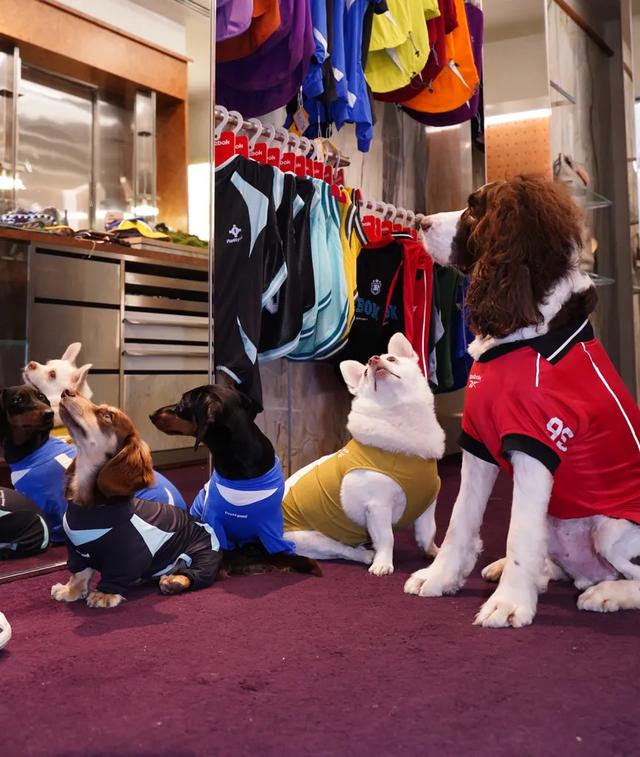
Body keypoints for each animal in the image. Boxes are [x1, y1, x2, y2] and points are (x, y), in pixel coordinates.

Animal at [50, 391, 222, 608]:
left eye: (107, 415)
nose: (67, 392)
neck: (92, 508)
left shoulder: (127, 555)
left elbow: (115, 575)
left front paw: (104, 594)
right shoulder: (77, 551)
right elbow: (80, 573)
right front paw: (71, 590)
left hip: (205, 552)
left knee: (195, 574)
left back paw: (174, 580)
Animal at [150, 385, 320, 576]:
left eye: (182, 403)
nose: (152, 414)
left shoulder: (269, 525)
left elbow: (275, 552)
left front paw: (299, 562)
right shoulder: (215, 521)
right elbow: (228, 556)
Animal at [282, 332, 445, 575]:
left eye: (392, 358)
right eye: (366, 373)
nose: (373, 359)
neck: (399, 416)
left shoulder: (428, 502)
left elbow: (428, 532)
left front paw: (434, 553)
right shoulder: (378, 507)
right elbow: (387, 538)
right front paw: (383, 563)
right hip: (314, 541)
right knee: (343, 551)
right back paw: (367, 555)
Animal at [405, 175, 640, 626]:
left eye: (474, 207)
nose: (420, 221)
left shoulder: (537, 447)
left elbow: (518, 531)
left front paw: (509, 604)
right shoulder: (477, 443)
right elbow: (460, 518)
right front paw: (439, 577)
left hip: (613, 530)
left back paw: (607, 593)